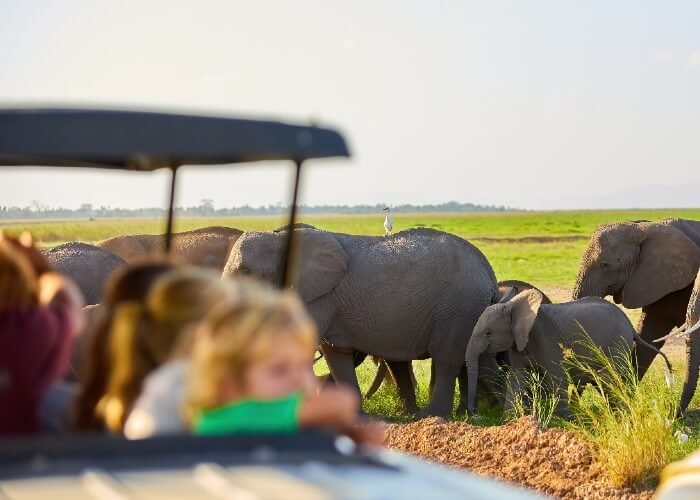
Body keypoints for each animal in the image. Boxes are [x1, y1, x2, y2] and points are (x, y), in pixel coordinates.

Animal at [223, 227, 499, 418]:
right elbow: (336, 355)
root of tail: (489, 272)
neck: (280, 238)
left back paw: (431, 417)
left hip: (458, 307)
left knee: (447, 359)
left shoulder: (317, 297)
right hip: (472, 310)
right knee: (477, 359)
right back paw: (487, 413)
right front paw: (354, 418)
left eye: (245, 272)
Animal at [465, 288, 672, 418]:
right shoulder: (519, 343)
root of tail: (630, 325)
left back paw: (619, 415)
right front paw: (509, 419)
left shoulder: (546, 341)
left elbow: (557, 378)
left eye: (488, 333)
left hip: (617, 342)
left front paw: (571, 420)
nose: (474, 413)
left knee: (608, 379)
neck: (514, 306)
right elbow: (517, 378)